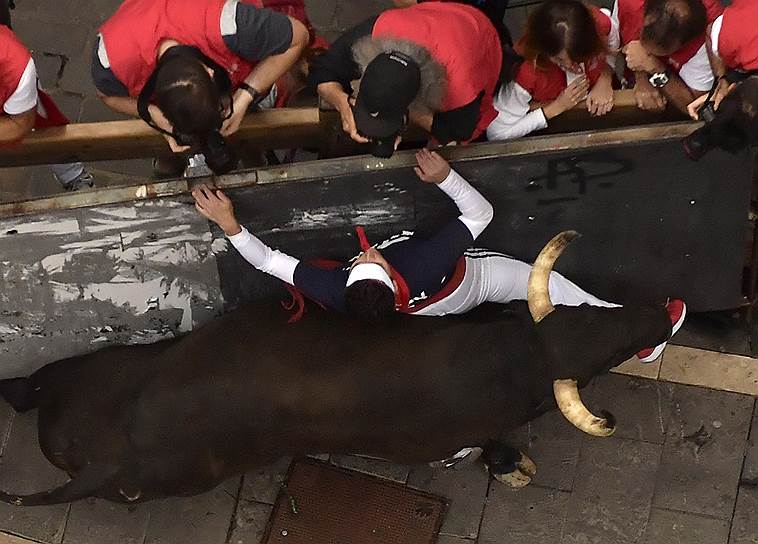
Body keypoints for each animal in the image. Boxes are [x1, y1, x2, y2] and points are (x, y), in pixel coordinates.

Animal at [0, 232, 672, 504]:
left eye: (589, 319)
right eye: (600, 360)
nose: (660, 314)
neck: (505, 361)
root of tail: (108, 462)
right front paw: (508, 463)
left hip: (85, 374)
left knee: (31, 386)